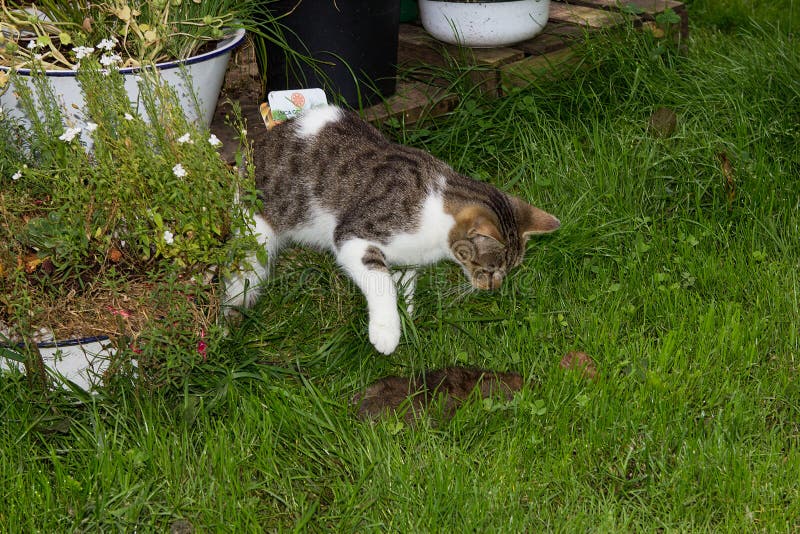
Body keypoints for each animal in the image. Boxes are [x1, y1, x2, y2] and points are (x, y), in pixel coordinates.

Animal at [225, 104, 560, 356]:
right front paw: (388, 329)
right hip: (256, 235)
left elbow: (404, 281)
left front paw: (406, 312)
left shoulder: (407, 257)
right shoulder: (354, 235)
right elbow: (381, 282)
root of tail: (249, 154)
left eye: (509, 270)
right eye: (490, 269)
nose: (493, 288)